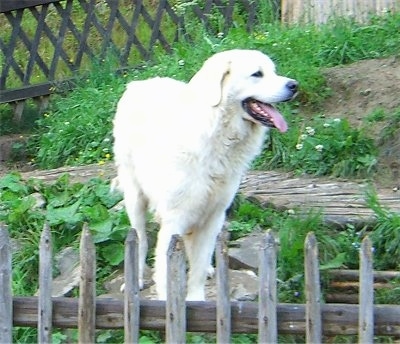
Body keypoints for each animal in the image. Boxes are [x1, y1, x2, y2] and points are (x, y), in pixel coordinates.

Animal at [112, 49, 296, 300]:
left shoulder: (213, 215)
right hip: (135, 197)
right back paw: (136, 280)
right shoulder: (175, 217)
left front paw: (197, 299)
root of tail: (138, 84)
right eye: (257, 74)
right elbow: (167, 271)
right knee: (139, 239)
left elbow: (198, 266)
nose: (294, 85)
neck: (217, 132)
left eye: (273, 71)